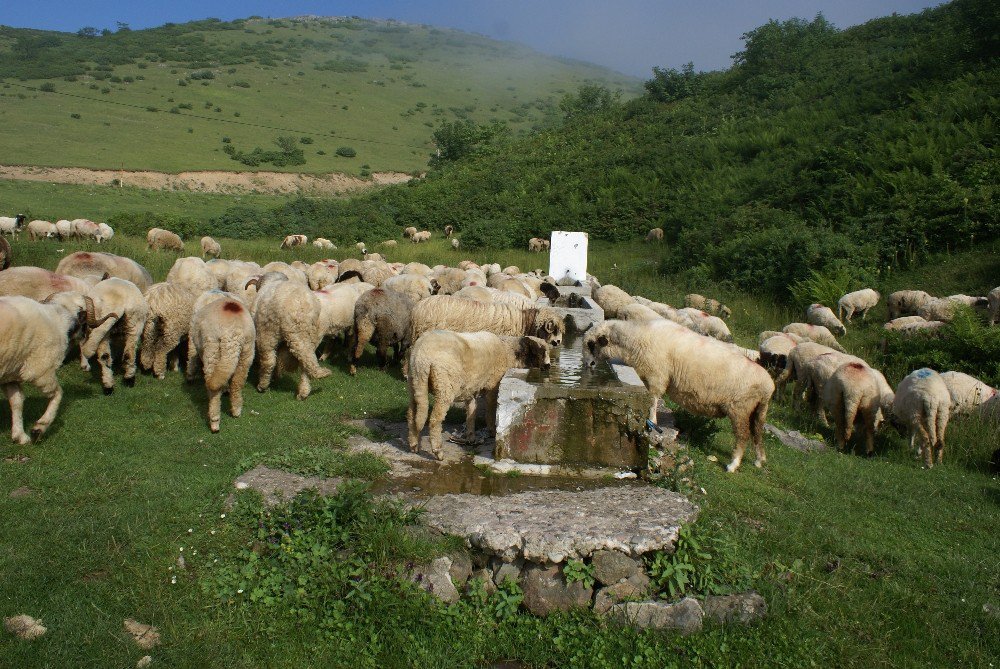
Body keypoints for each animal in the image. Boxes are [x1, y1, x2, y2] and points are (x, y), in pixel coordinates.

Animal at [0, 292, 116, 444]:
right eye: (84, 320)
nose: (86, 335)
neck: (58, 318)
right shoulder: (41, 371)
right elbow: (58, 394)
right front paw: (39, 428)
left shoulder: (11, 373)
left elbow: (17, 401)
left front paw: (20, 436)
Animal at [185, 294, 256, 430]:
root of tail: (232, 333)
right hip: (247, 352)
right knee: (237, 383)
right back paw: (236, 411)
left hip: (212, 349)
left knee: (213, 389)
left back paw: (214, 422)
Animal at [406, 330, 552, 460]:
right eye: (541, 351)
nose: (549, 366)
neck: (509, 352)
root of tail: (421, 356)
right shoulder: (493, 386)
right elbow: (491, 410)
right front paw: (492, 430)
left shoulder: (471, 390)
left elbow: (472, 412)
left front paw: (470, 437)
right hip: (445, 388)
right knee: (435, 420)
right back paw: (438, 452)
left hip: (415, 385)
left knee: (412, 414)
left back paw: (414, 445)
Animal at [584, 318, 776, 470]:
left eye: (592, 344)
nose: (588, 365)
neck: (637, 338)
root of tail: (768, 386)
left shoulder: (657, 375)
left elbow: (653, 399)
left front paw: (652, 421)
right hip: (758, 410)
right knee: (757, 433)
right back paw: (759, 460)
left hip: (740, 408)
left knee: (743, 436)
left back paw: (733, 464)